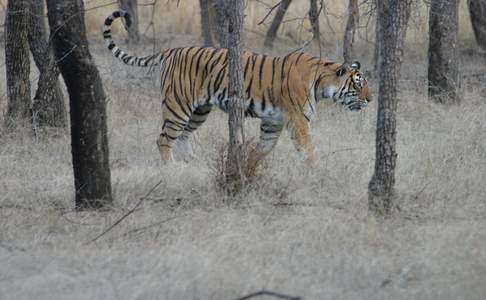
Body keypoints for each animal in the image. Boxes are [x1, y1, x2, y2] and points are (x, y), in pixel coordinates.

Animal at [100, 9, 370, 164]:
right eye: (358, 85)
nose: (370, 99)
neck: (322, 83)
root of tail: (172, 50)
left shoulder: (273, 120)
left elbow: (265, 146)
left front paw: (253, 163)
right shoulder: (297, 120)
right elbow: (308, 149)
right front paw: (316, 170)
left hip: (199, 111)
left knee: (183, 135)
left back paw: (191, 161)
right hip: (178, 106)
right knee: (164, 140)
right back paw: (171, 169)